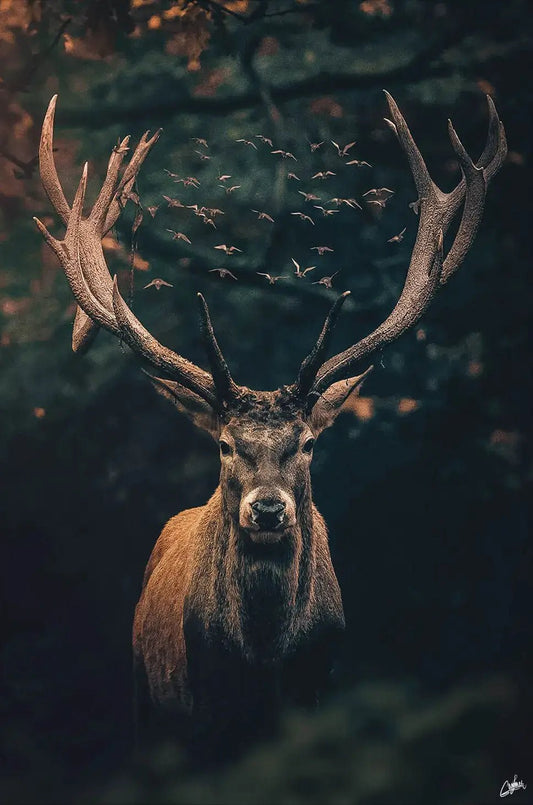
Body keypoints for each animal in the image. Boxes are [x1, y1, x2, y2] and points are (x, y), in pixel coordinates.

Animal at [34, 92, 506, 757]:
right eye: (225, 445)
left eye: (306, 443)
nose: (266, 508)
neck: (264, 665)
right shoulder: (202, 708)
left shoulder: (322, 685)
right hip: (143, 696)